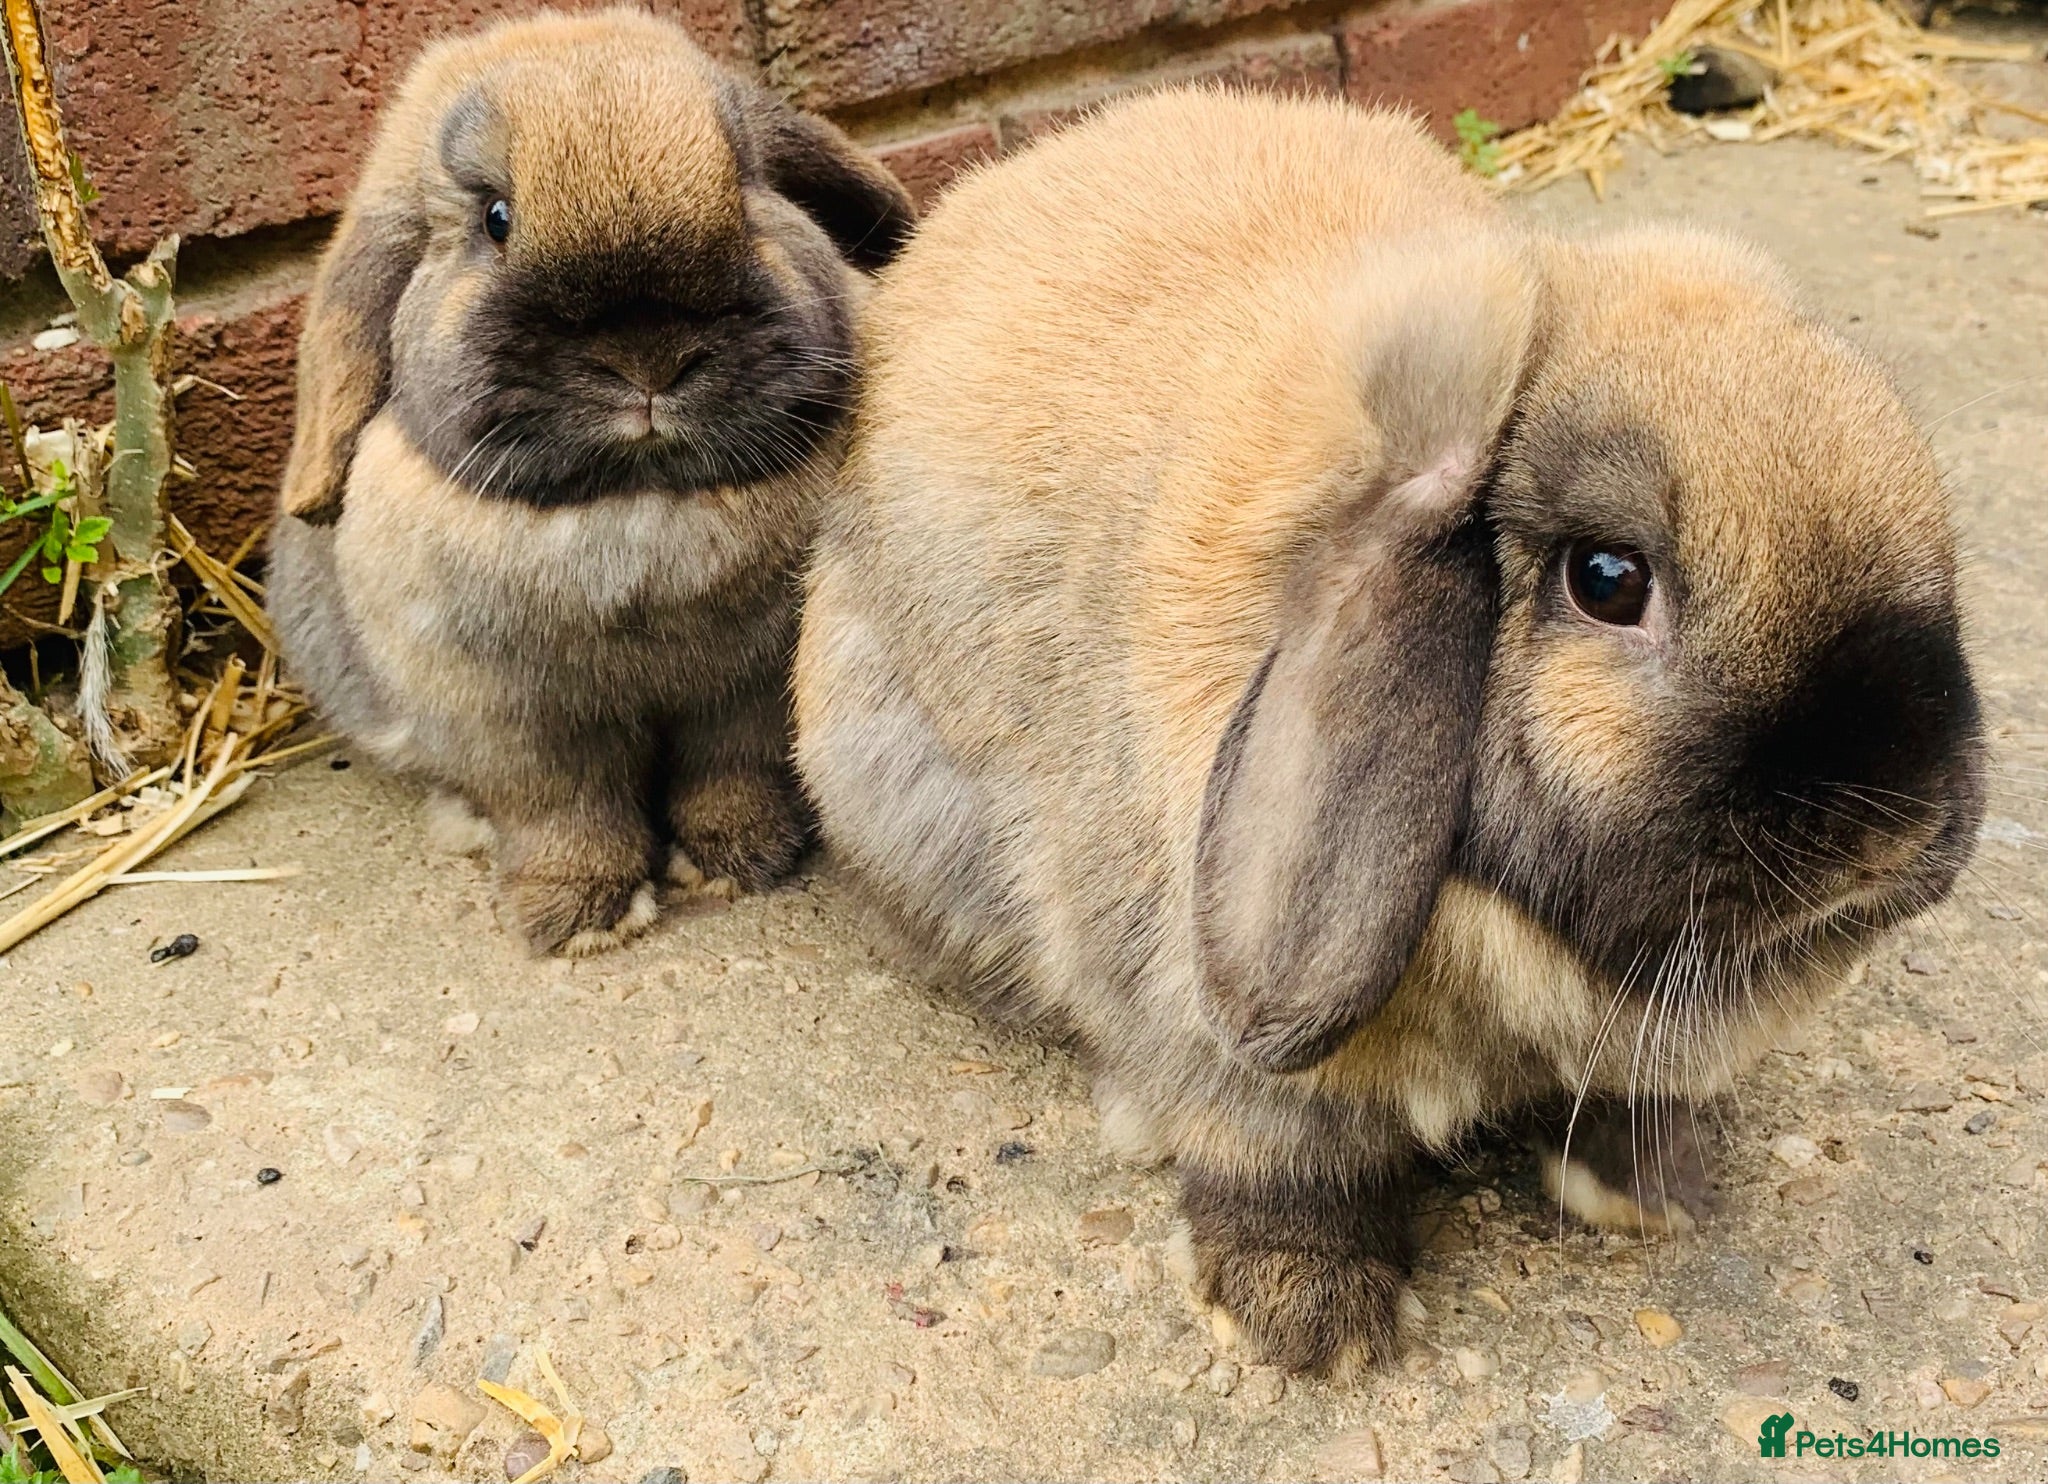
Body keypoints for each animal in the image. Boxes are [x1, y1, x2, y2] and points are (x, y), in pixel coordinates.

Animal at [269, 8, 914, 955]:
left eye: (750, 185)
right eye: (495, 218)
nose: (648, 360)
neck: (637, 507)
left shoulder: (747, 700)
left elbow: (731, 777)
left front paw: (736, 863)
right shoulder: (521, 727)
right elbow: (566, 814)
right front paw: (575, 918)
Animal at [793, 89, 1986, 1373]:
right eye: (1606, 578)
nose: (1887, 830)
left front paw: (1647, 1194)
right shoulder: (1203, 1019)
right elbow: (1275, 1154)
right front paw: (1306, 1318)